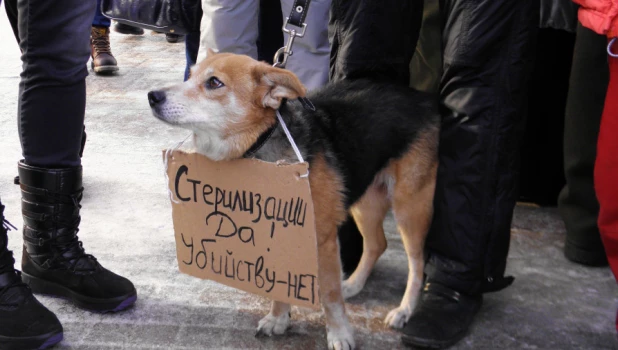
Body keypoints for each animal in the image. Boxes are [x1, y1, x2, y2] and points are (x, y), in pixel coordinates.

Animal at [149, 50, 438, 350]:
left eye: (214, 83)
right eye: (190, 75)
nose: (152, 96)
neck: (258, 143)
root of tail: (422, 97)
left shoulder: (323, 238)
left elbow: (330, 295)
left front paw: (339, 333)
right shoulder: (276, 233)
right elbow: (278, 281)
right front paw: (279, 317)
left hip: (410, 206)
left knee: (417, 262)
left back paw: (404, 310)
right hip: (366, 200)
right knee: (377, 244)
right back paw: (354, 284)